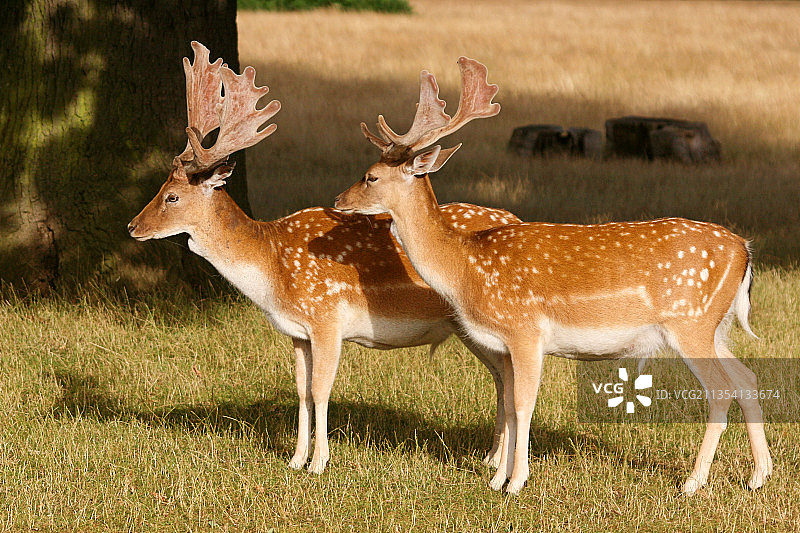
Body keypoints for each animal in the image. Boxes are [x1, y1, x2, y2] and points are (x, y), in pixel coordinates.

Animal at [128, 42, 520, 474]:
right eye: (160, 188)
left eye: (172, 197)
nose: (132, 226)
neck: (271, 267)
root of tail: (516, 219)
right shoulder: (297, 332)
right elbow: (300, 390)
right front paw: (295, 459)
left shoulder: (327, 318)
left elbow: (320, 390)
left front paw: (319, 463)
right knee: (501, 378)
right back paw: (490, 458)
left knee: (507, 378)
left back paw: (496, 461)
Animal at [334, 57, 772, 494]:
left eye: (371, 176)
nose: (338, 200)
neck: (465, 268)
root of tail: (744, 250)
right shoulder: (506, 342)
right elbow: (511, 403)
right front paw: (496, 478)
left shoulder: (525, 330)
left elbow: (524, 404)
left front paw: (515, 482)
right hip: (715, 326)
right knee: (747, 377)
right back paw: (759, 475)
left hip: (690, 321)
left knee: (721, 390)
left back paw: (693, 482)